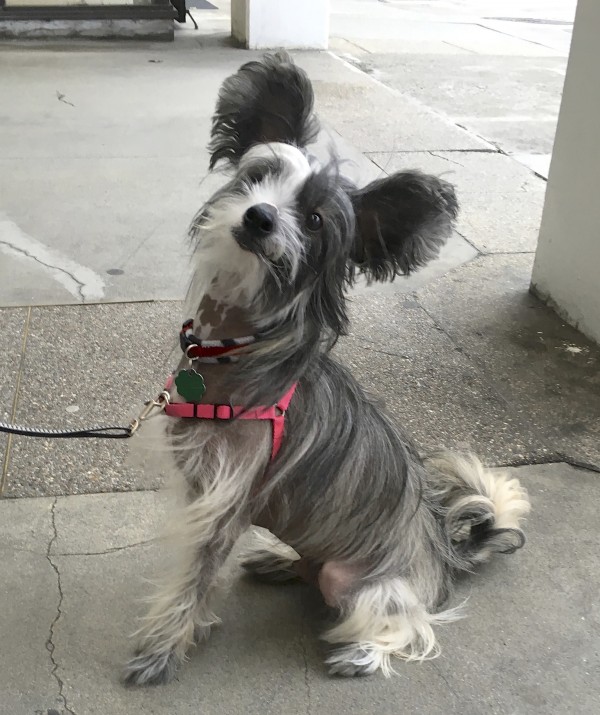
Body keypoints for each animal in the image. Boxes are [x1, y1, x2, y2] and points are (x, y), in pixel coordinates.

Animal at [123, 53, 528, 684]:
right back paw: (282, 560)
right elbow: (200, 578)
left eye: (313, 220)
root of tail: (440, 549)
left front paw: (163, 649)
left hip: (357, 580)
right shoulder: (204, 493)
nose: (260, 217)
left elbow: (193, 580)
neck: (233, 350)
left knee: (411, 619)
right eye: (258, 176)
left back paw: (364, 651)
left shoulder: (222, 504)